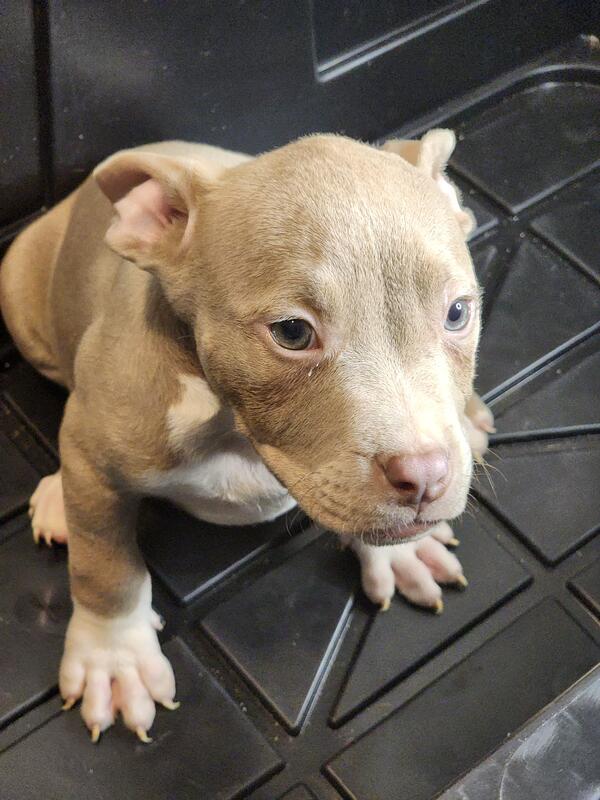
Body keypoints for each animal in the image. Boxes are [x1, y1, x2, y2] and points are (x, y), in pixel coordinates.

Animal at [0, 129, 494, 743]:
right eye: (293, 332)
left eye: (457, 313)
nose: (426, 477)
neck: (234, 428)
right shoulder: (97, 457)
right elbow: (105, 565)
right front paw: (114, 658)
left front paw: (403, 549)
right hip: (19, 291)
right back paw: (55, 498)